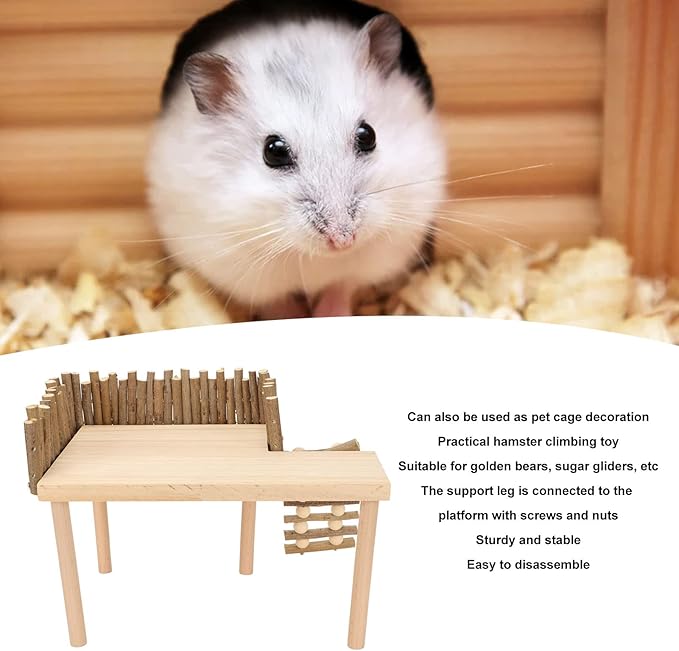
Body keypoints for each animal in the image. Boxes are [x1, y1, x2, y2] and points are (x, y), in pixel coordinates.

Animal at [146, 0, 446, 317]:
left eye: (368, 135)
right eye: (274, 151)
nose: (343, 241)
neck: (313, 257)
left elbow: (341, 286)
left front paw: (331, 313)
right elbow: (277, 303)